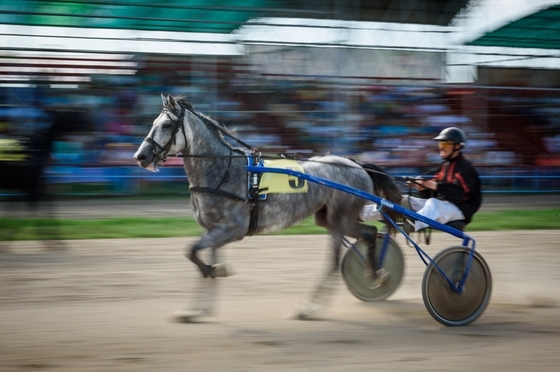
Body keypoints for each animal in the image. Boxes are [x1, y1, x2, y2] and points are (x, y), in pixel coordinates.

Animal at [133, 94, 400, 322]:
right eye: (154, 123)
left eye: (167, 125)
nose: (140, 156)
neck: (224, 171)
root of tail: (357, 165)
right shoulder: (213, 230)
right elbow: (199, 256)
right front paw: (197, 309)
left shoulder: (233, 230)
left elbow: (191, 251)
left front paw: (216, 272)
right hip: (328, 218)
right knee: (368, 234)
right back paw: (375, 275)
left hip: (339, 219)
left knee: (338, 259)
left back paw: (310, 307)